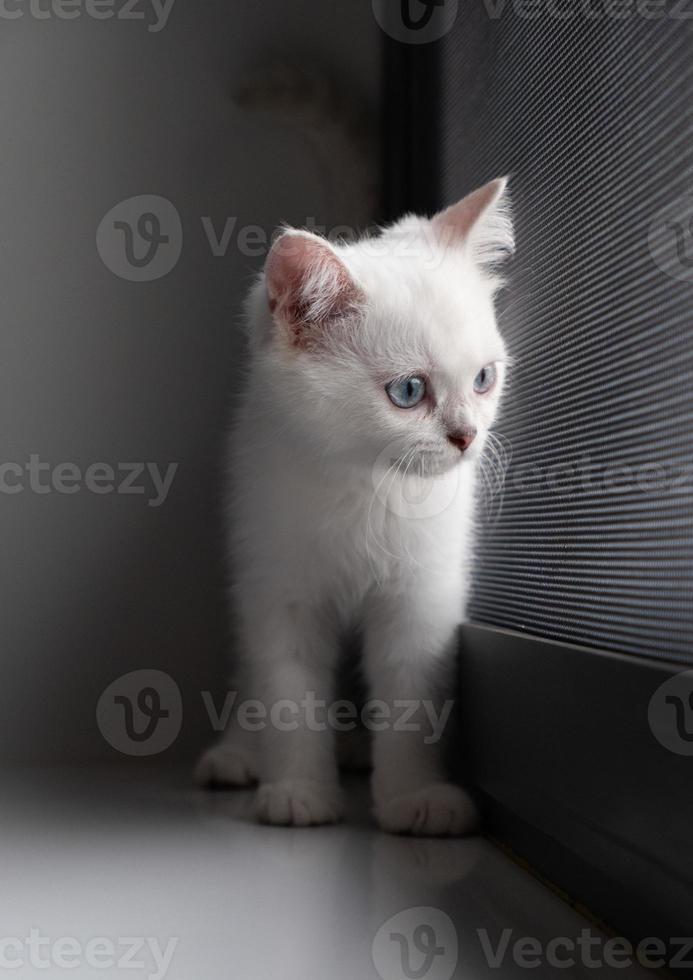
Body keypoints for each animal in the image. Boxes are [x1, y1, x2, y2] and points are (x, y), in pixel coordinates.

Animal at [195, 178, 512, 836]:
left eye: (484, 379)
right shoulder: (279, 589)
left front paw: (415, 796)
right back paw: (239, 753)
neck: (368, 488)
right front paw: (297, 790)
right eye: (409, 391)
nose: (467, 436)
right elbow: (287, 694)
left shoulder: (422, 599)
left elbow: (414, 698)